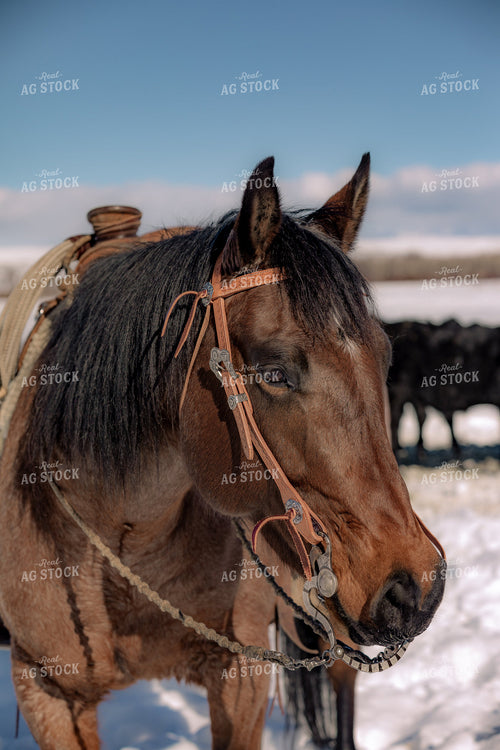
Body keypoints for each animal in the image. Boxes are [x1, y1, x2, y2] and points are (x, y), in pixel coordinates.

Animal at [0, 154, 445, 749]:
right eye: (274, 372)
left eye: (385, 356)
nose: (417, 587)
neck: (129, 533)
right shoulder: (48, 692)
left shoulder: (242, 677)